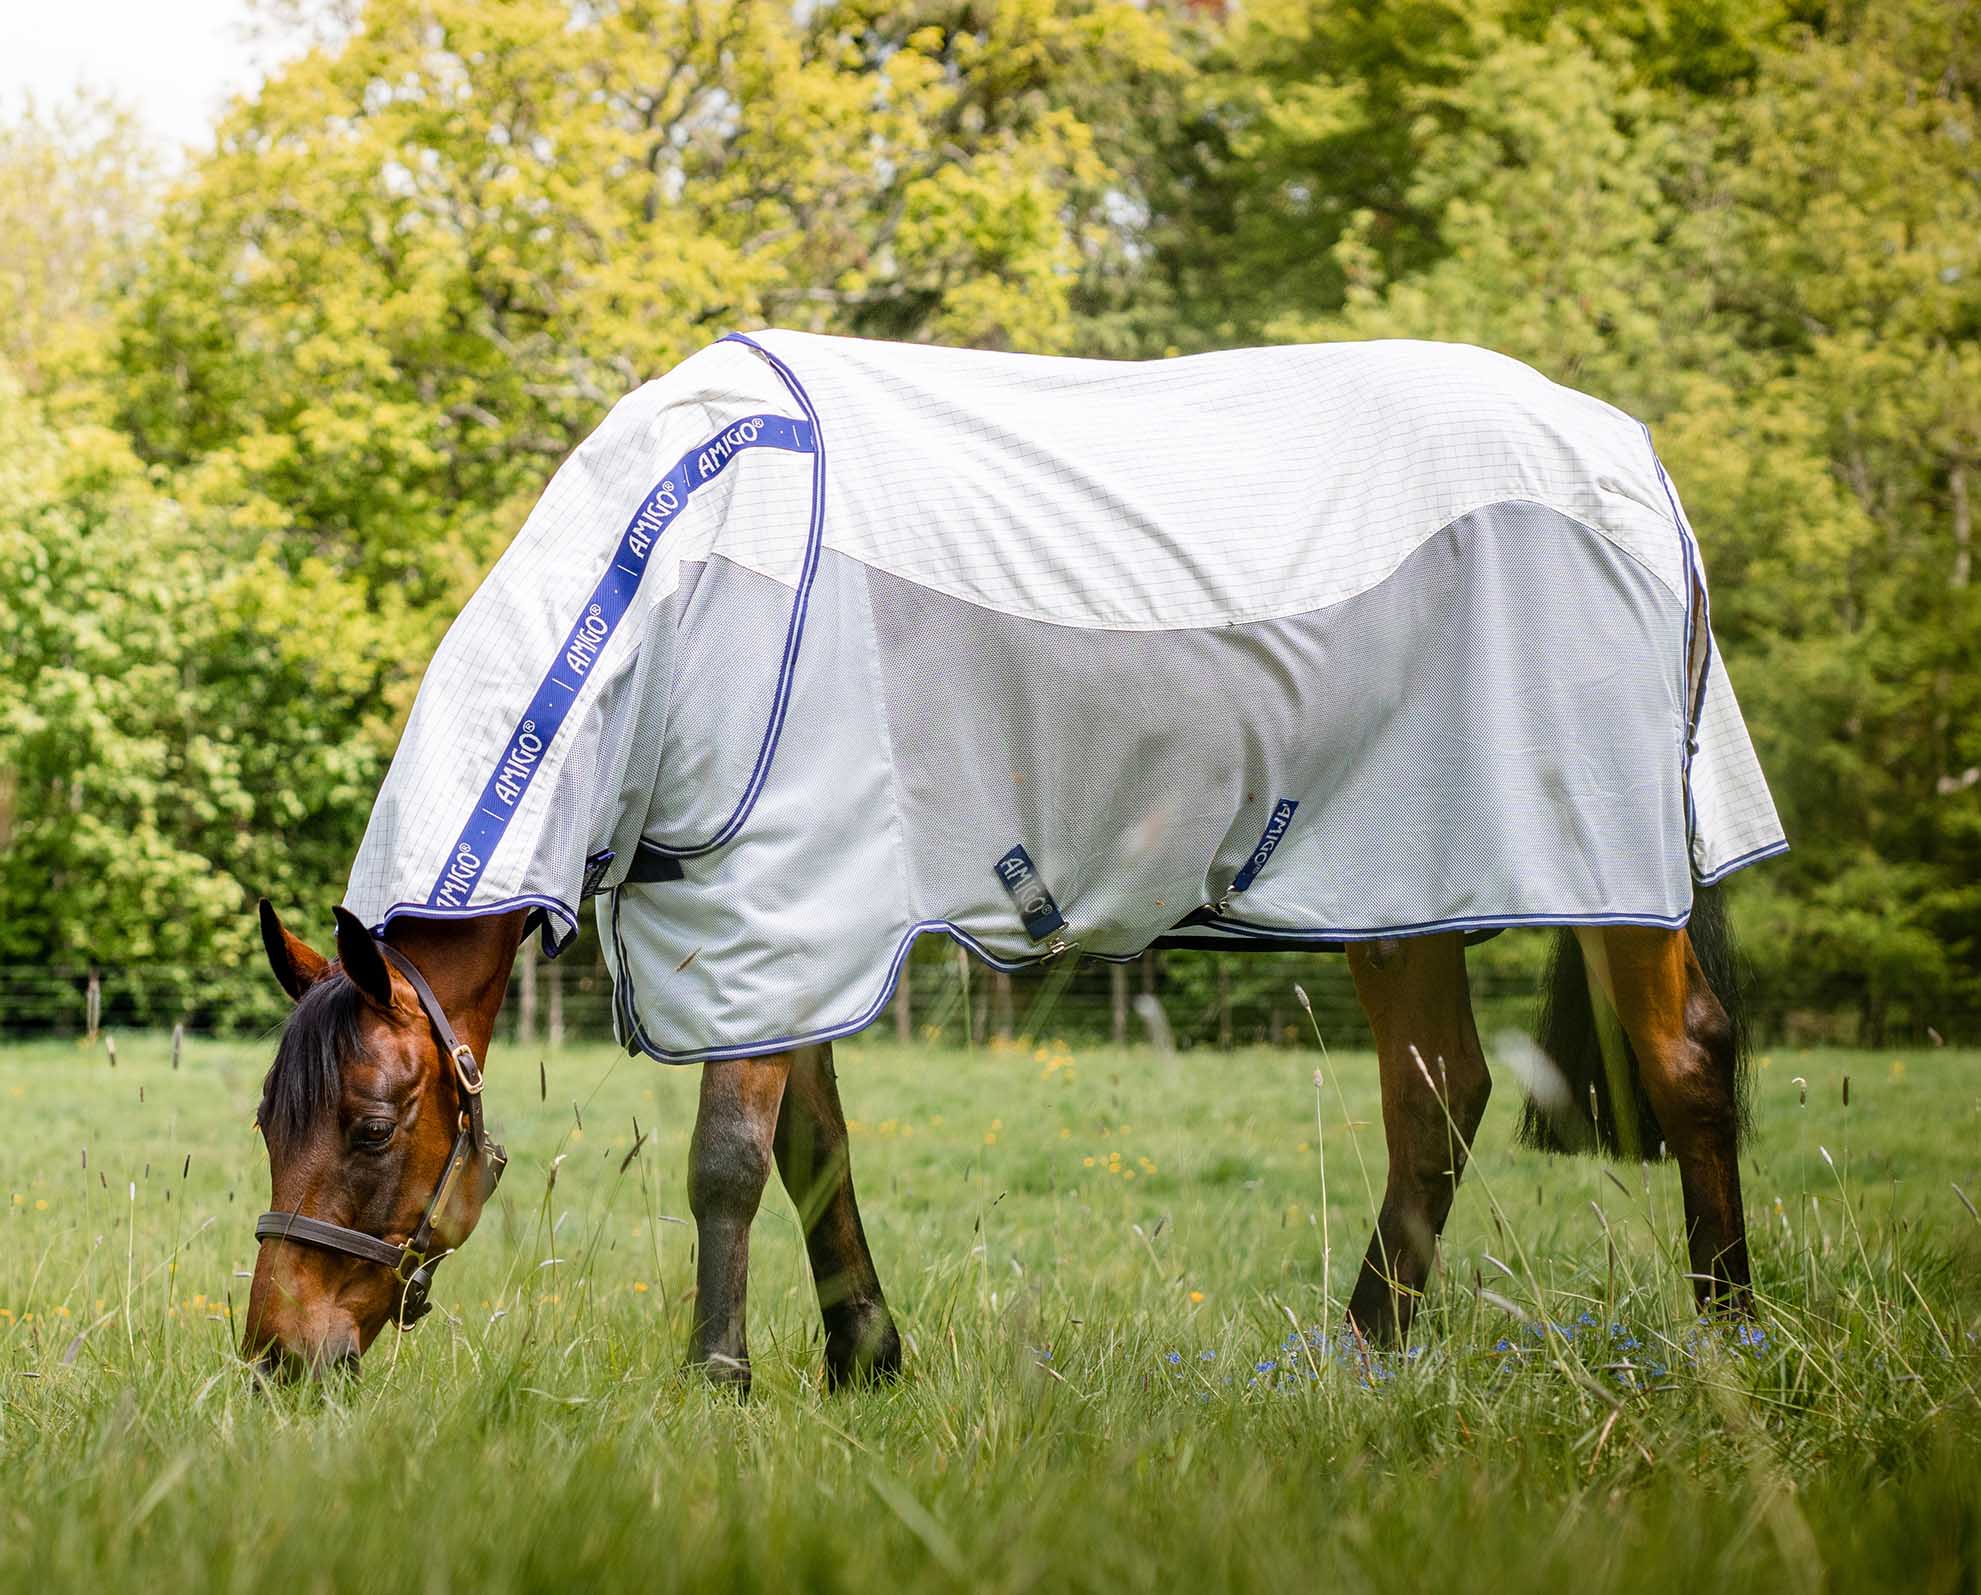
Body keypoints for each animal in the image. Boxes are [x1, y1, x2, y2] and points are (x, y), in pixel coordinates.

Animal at [241, 330, 1782, 1378]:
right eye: (267, 1121)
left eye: (371, 1123)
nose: (275, 1354)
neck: (675, 585)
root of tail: (1631, 459)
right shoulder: (790, 930)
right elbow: (812, 1148)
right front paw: (865, 1358)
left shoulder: (782, 904)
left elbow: (729, 1159)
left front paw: (719, 1379)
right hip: (1401, 885)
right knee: (1439, 1097)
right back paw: (1358, 1355)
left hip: (1592, 874)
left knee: (1683, 1058)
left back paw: (1730, 1333)